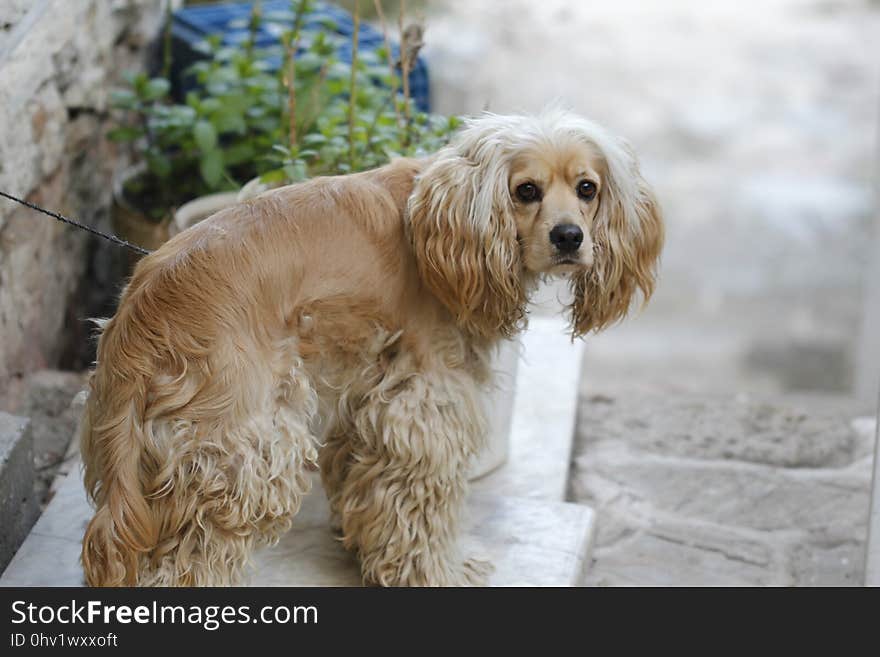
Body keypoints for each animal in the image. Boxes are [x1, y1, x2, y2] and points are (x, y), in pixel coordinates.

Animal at [81, 107, 660, 584]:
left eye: (587, 188)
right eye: (526, 191)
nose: (569, 237)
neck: (443, 227)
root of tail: (140, 314)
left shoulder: (369, 388)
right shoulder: (425, 400)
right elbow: (422, 504)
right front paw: (438, 572)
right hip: (243, 456)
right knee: (186, 561)